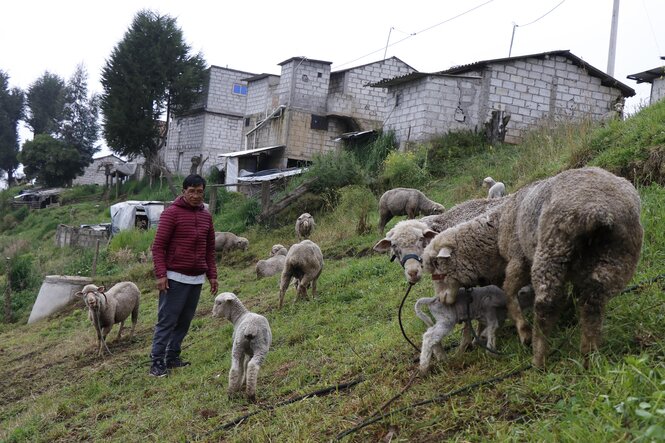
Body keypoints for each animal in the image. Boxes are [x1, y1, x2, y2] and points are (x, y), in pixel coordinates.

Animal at [420, 166, 644, 368]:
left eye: (437, 267)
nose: (442, 300)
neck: (494, 229)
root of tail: (597, 211)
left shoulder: (518, 260)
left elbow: (508, 292)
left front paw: (523, 331)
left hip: (551, 251)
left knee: (546, 305)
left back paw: (539, 357)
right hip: (616, 256)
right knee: (593, 301)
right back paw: (590, 353)